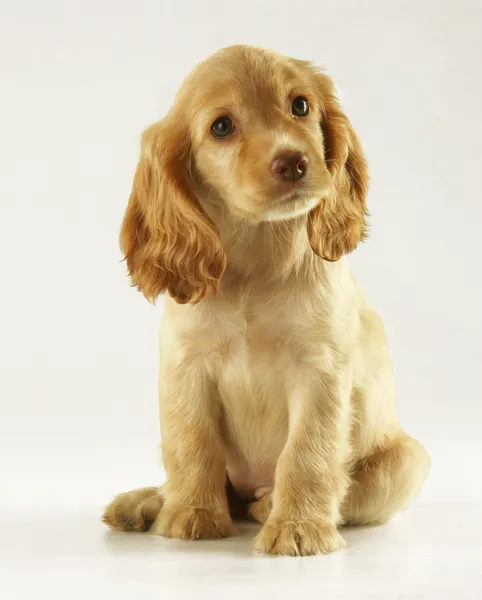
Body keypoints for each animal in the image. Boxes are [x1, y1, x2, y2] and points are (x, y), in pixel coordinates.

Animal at [102, 44, 430, 556]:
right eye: (221, 127)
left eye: (300, 106)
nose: (292, 162)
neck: (256, 254)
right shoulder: (185, 367)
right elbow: (191, 444)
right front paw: (192, 513)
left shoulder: (320, 370)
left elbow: (308, 452)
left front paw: (299, 526)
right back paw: (147, 503)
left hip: (408, 460)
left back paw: (266, 504)